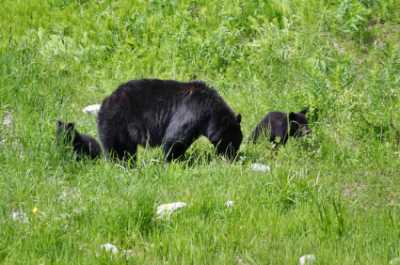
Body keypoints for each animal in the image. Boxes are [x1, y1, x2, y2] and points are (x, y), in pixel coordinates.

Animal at [96, 78, 244, 161]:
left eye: (238, 141)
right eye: (231, 143)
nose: (233, 157)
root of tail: (106, 101)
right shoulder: (192, 111)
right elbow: (174, 138)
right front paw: (173, 161)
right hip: (117, 122)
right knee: (119, 148)